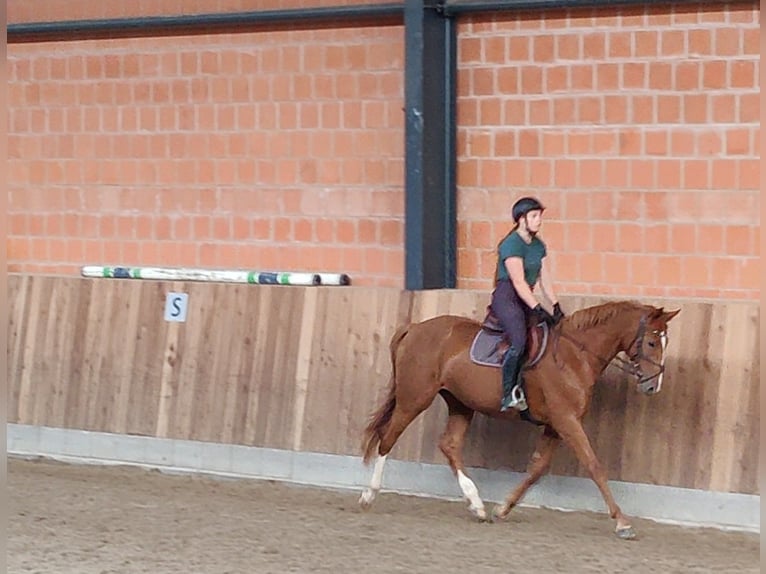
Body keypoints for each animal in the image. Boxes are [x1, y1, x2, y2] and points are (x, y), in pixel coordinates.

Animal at [358, 300, 680, 539]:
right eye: (652, 342)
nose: (653, 386)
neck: (574, 355)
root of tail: (415, 328)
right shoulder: (567, 420)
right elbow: (594, 466)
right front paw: (623, 523)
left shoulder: (555, 425)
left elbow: (537, 468)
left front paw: (503, 508)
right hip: (414, 399)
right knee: (387, 438)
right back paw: (368, 496)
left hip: (460, 403)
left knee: (449, 445)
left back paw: (477, 505)